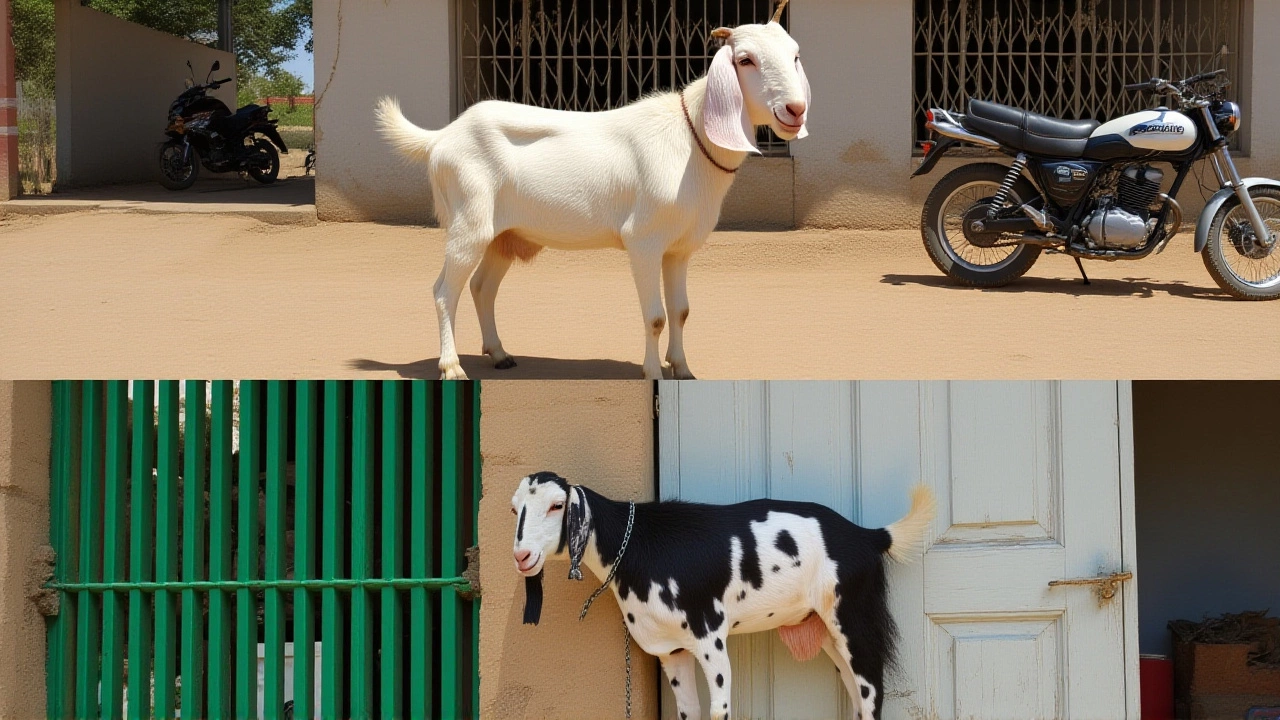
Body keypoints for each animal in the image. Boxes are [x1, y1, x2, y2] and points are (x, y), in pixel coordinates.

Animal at [375, 0, 810, 380]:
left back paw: (499, 354)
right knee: (444, 291)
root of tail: (442, 137)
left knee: (482, 287)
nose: (795, 109)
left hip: (503, 233)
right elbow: (656, 316)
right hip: (468, 222)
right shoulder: (643, 240)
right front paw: (653, 372)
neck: (691, 139)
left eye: (795, 55)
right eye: (745, 59)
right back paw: (451, 367)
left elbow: (681, 311)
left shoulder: (679, 248)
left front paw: (683, 368)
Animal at [510, 472, 937, 720]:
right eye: (516, 509)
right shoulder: (672, 651)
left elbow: (719, 710)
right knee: (857, 699)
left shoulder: (710, 637)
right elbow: (688, 713)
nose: (522, 556)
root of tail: (868, 535)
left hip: (854, 623)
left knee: (871, 694)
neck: (640, 544)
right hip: (831, 635)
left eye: (557, 505)